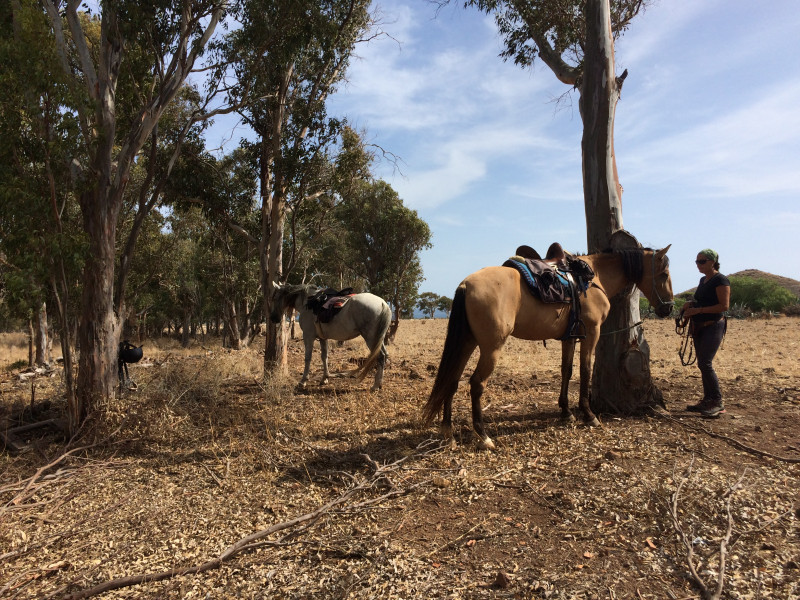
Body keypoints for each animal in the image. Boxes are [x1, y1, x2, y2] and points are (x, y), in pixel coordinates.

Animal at [422, 245, 672, 450]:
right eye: (664, 274)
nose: (668, 308)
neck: (594, 277)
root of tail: (465, 284)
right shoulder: (592, 333)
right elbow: (585, 370)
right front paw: (588, 414)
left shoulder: (570, 337)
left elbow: (566, 371)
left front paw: (566, 412)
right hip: (491, 348)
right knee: (476, 384)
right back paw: (483, 436)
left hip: (467, 342)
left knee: (452, 380)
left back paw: (448, 432)